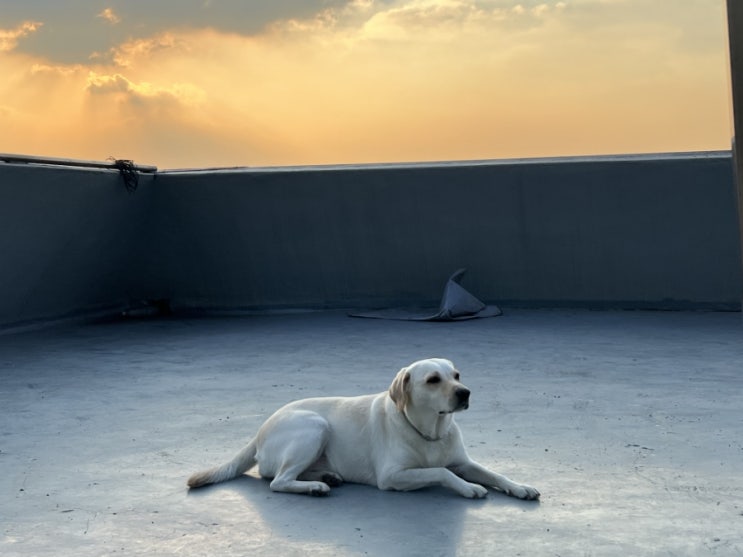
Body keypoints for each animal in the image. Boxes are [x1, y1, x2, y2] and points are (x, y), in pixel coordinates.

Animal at [187, 358, 540, 502]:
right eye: (433, 380)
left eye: (456, 375)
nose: (465, 393)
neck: (431, 432)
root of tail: (260, 430)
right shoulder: (392, 476)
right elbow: (441, 472)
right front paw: (468, 488)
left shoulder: (463, 462)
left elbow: (495, 474)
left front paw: (520, 487)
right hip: (315, 426)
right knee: (276, 481)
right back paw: (315, 487)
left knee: (277, 475)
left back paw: (326, 476)